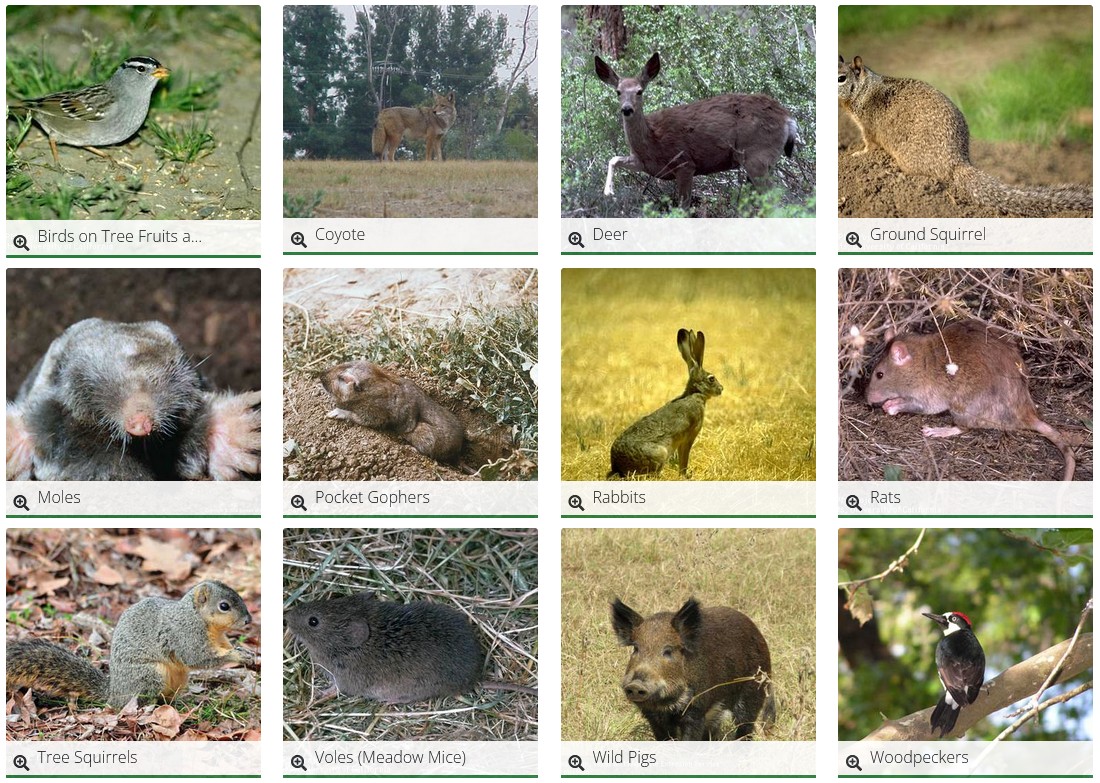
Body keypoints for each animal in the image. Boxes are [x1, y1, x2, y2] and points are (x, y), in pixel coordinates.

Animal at [7, 580, 254, 708]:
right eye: (224, 606)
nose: (248, 620)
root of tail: (114, 692)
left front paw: (247, 651)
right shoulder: (185, 634)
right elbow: (198, 657)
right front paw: (237, 656)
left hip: (178, 679)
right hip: (149, 675)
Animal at [320, 361, 465, 466]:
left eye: (342, 378)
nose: (320, 375)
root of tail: (457, 452)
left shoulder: (374, 412)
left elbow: (360, 418)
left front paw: (336, 412)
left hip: (422, 433)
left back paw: (410, 448)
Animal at [595, 52, 799, 213]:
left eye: (639, 91)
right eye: (618, 91)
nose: (627, 109)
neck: (652, 140)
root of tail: (787, 119)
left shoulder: (685, 163)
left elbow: (683, 208)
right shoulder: (644, 163)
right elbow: (613, 159)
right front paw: (608, 192)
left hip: (757, 156)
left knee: (775, 201)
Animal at [609, 329, 723, 478]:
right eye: (711, 379)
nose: (721, 389)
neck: (695, 393)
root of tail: (617, 466)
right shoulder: (688, 438)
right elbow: (684, 459)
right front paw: (685, 475)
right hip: (660, 453)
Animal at [838, 54, 1092, 217]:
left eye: (841, 78)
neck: (866, 89)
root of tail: (957, 161)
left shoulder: (867, 127)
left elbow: (869, 144)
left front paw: (857, 154)